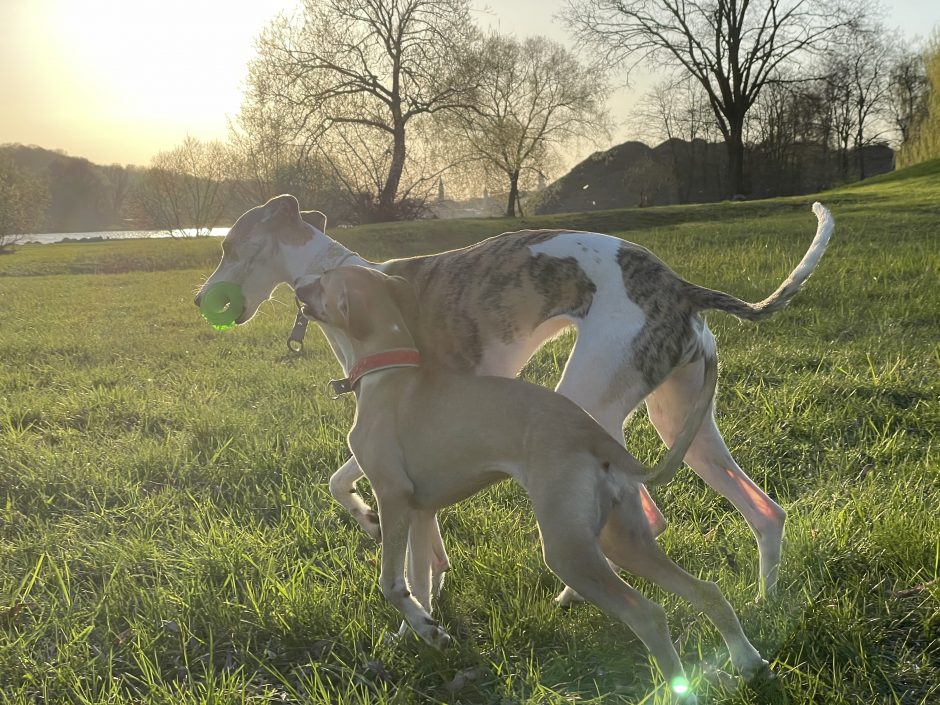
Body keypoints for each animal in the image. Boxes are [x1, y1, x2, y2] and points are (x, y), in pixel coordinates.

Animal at [195, 194, 832, 600]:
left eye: (230, 246)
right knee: (763, 511)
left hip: (588, 405)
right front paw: (381, 529)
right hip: (683, 423)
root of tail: (680, 286)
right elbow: (344, 483)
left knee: (645, 512)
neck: (342, 276)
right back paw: (765, 605)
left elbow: (396, 522)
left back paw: (580, 594)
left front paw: (414, 597)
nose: (201, 300)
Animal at [296, 266, 772, 700]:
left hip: (567, 549)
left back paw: (679, 689)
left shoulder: (393, 496)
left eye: (323, 281)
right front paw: (423, 629)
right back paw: (748, 661)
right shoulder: (419, 510)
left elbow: (392, 583)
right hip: (622, 539)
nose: (298, 288)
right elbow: (422, 576)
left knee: (649, 614)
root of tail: (595, 435)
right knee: (707, 591)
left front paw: (425, 630)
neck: (389, 371)